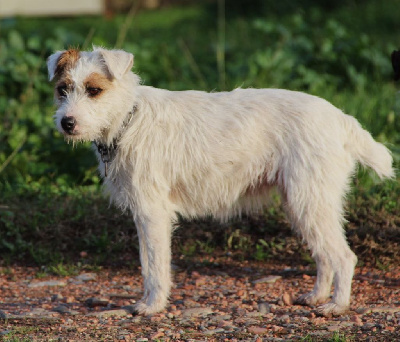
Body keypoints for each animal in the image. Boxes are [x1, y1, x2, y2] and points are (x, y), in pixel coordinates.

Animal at [47, 46, 394, 316]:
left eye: (94, 90)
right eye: (62, 89)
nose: (67, 123)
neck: (128, 119)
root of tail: (341, 119)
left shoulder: (152, 214)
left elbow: (154, 265)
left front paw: (153, 305)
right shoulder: (144, 214)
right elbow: (148, 262)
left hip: (310, 202)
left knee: (343, 257)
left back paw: (337, 305)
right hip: (303, 205)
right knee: (324, 255)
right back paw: (317, 296)